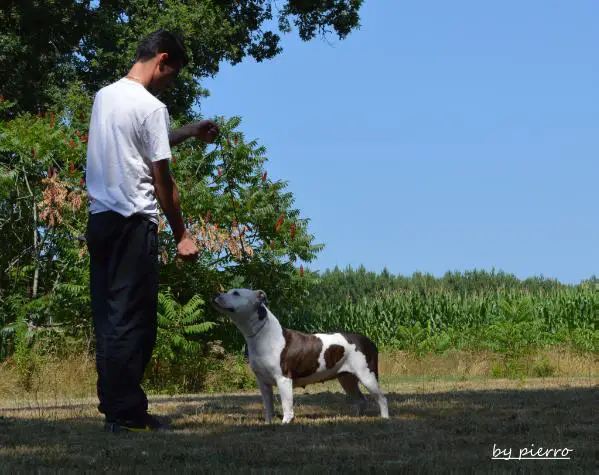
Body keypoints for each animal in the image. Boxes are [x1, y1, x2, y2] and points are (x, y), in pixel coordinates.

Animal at [213, 288, 392, 422]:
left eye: (236, 293)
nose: (217, 294)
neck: (262, 334)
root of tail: (369, 341)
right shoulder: (262, 382)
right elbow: (268, 405)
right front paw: (268, 422)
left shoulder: (283, 379)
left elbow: (286, 404)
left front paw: (285, 422)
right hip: (346, 378)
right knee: (361, 399)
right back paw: (356, 418)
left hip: (367, 375)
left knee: (381, 398)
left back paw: (384, 418)